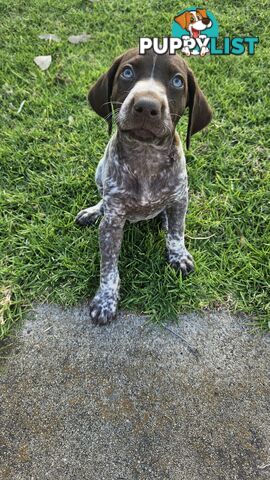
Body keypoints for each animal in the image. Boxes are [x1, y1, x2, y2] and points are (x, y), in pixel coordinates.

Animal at [75, 47, 212, 324]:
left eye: (177, 81)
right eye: (127, 72)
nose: (147, 106)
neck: (146, 156)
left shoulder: (180, 197)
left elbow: (177, 232)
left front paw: (178, 255)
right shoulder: (112, 223)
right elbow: (108, 267)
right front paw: (105, 299)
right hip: (99, 171)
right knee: (102, 198)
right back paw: (94, 211)